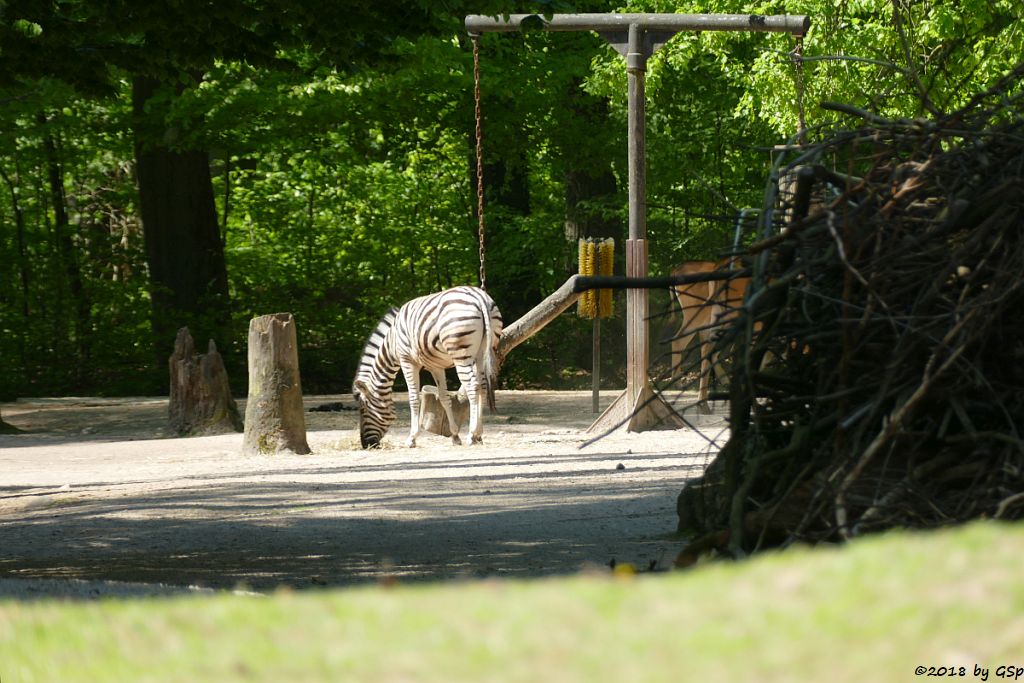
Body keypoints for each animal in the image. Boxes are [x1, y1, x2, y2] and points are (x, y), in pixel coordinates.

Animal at [352, 284, 503, 448]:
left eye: (363, 409)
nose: (366, 445)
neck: (392, 344)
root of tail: (479, 296)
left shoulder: (407, 361)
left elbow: (413, 398)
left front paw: (412, 438)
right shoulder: (436, 366)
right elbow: (444, 397)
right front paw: (455, 436)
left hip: (460, 353)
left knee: (473, 387)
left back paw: (472, 434)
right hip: (481, 353)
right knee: (482, 386)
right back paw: (479, 434)